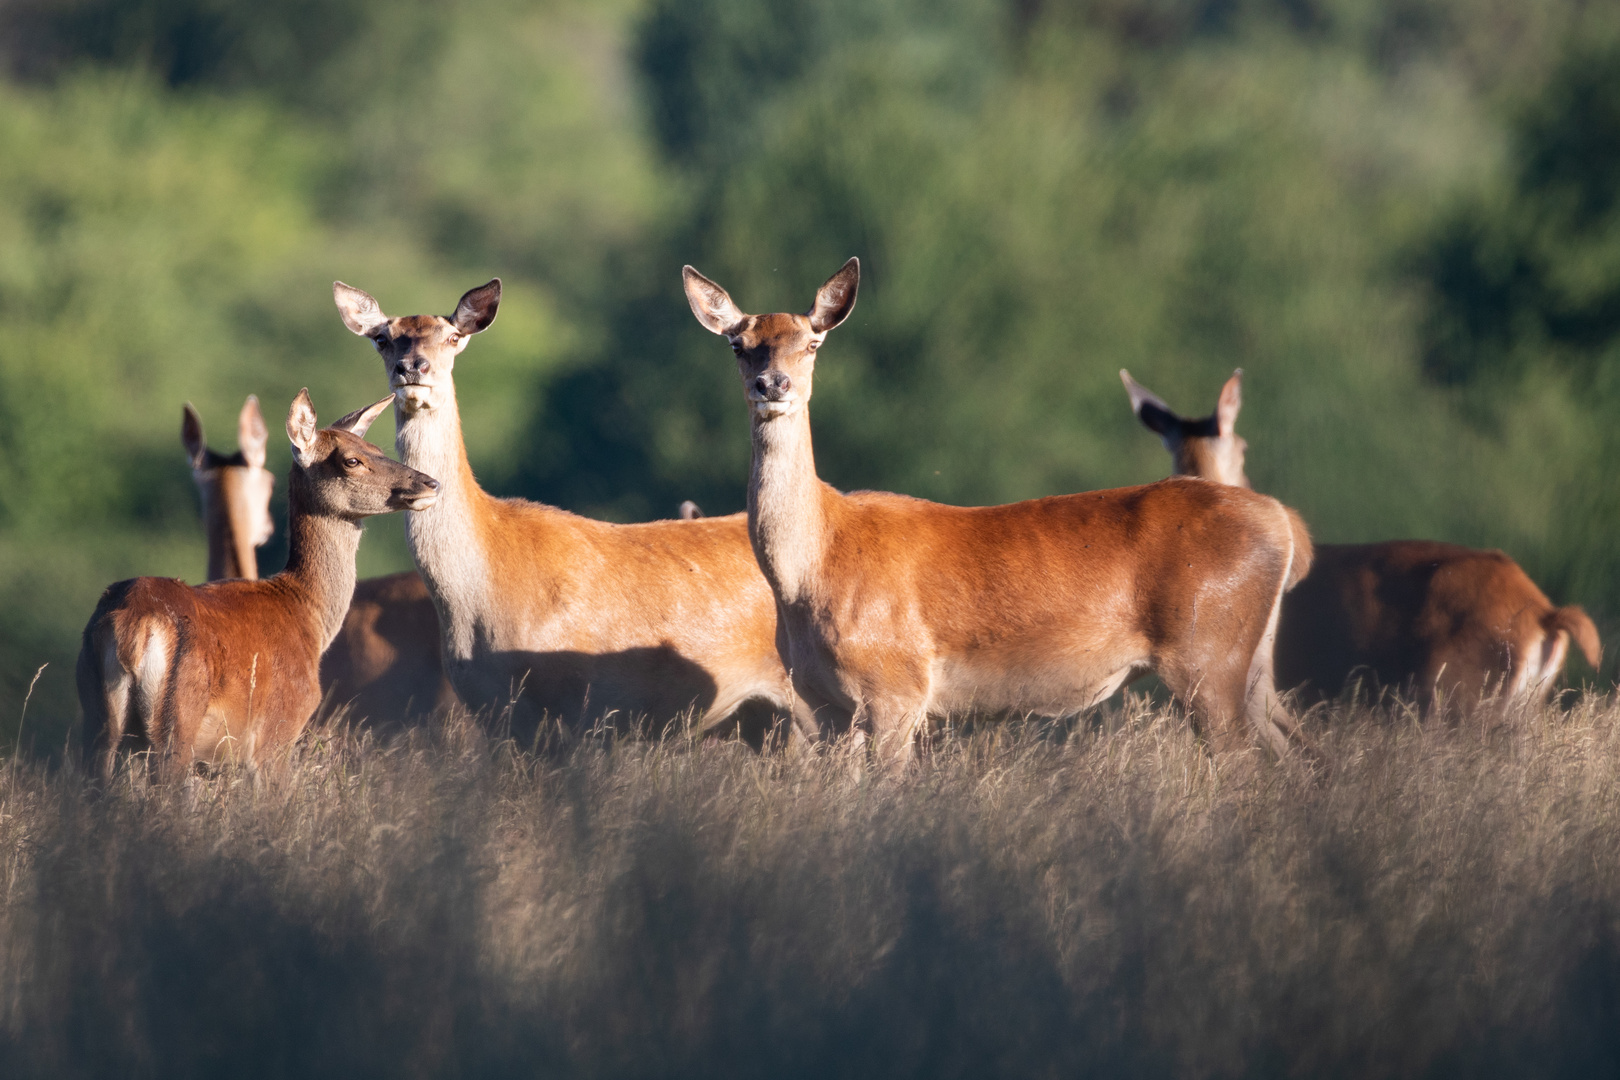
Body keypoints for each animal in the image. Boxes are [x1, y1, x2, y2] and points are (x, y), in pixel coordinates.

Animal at [78, 390, 440, 777]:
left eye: (376, 447)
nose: (430, 483)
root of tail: (134, 627)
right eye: (351, 460)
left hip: (96, 720)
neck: (306, 613)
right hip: (176, 727)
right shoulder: (277, 734)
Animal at [683, 259, 1315, 767]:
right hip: (1250, 662)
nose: (773, 383)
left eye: (812, 342)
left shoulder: (898, 688)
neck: (811, 570)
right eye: (739, 344)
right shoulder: (826, 707)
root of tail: (1285, 524)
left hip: (1208, 650)